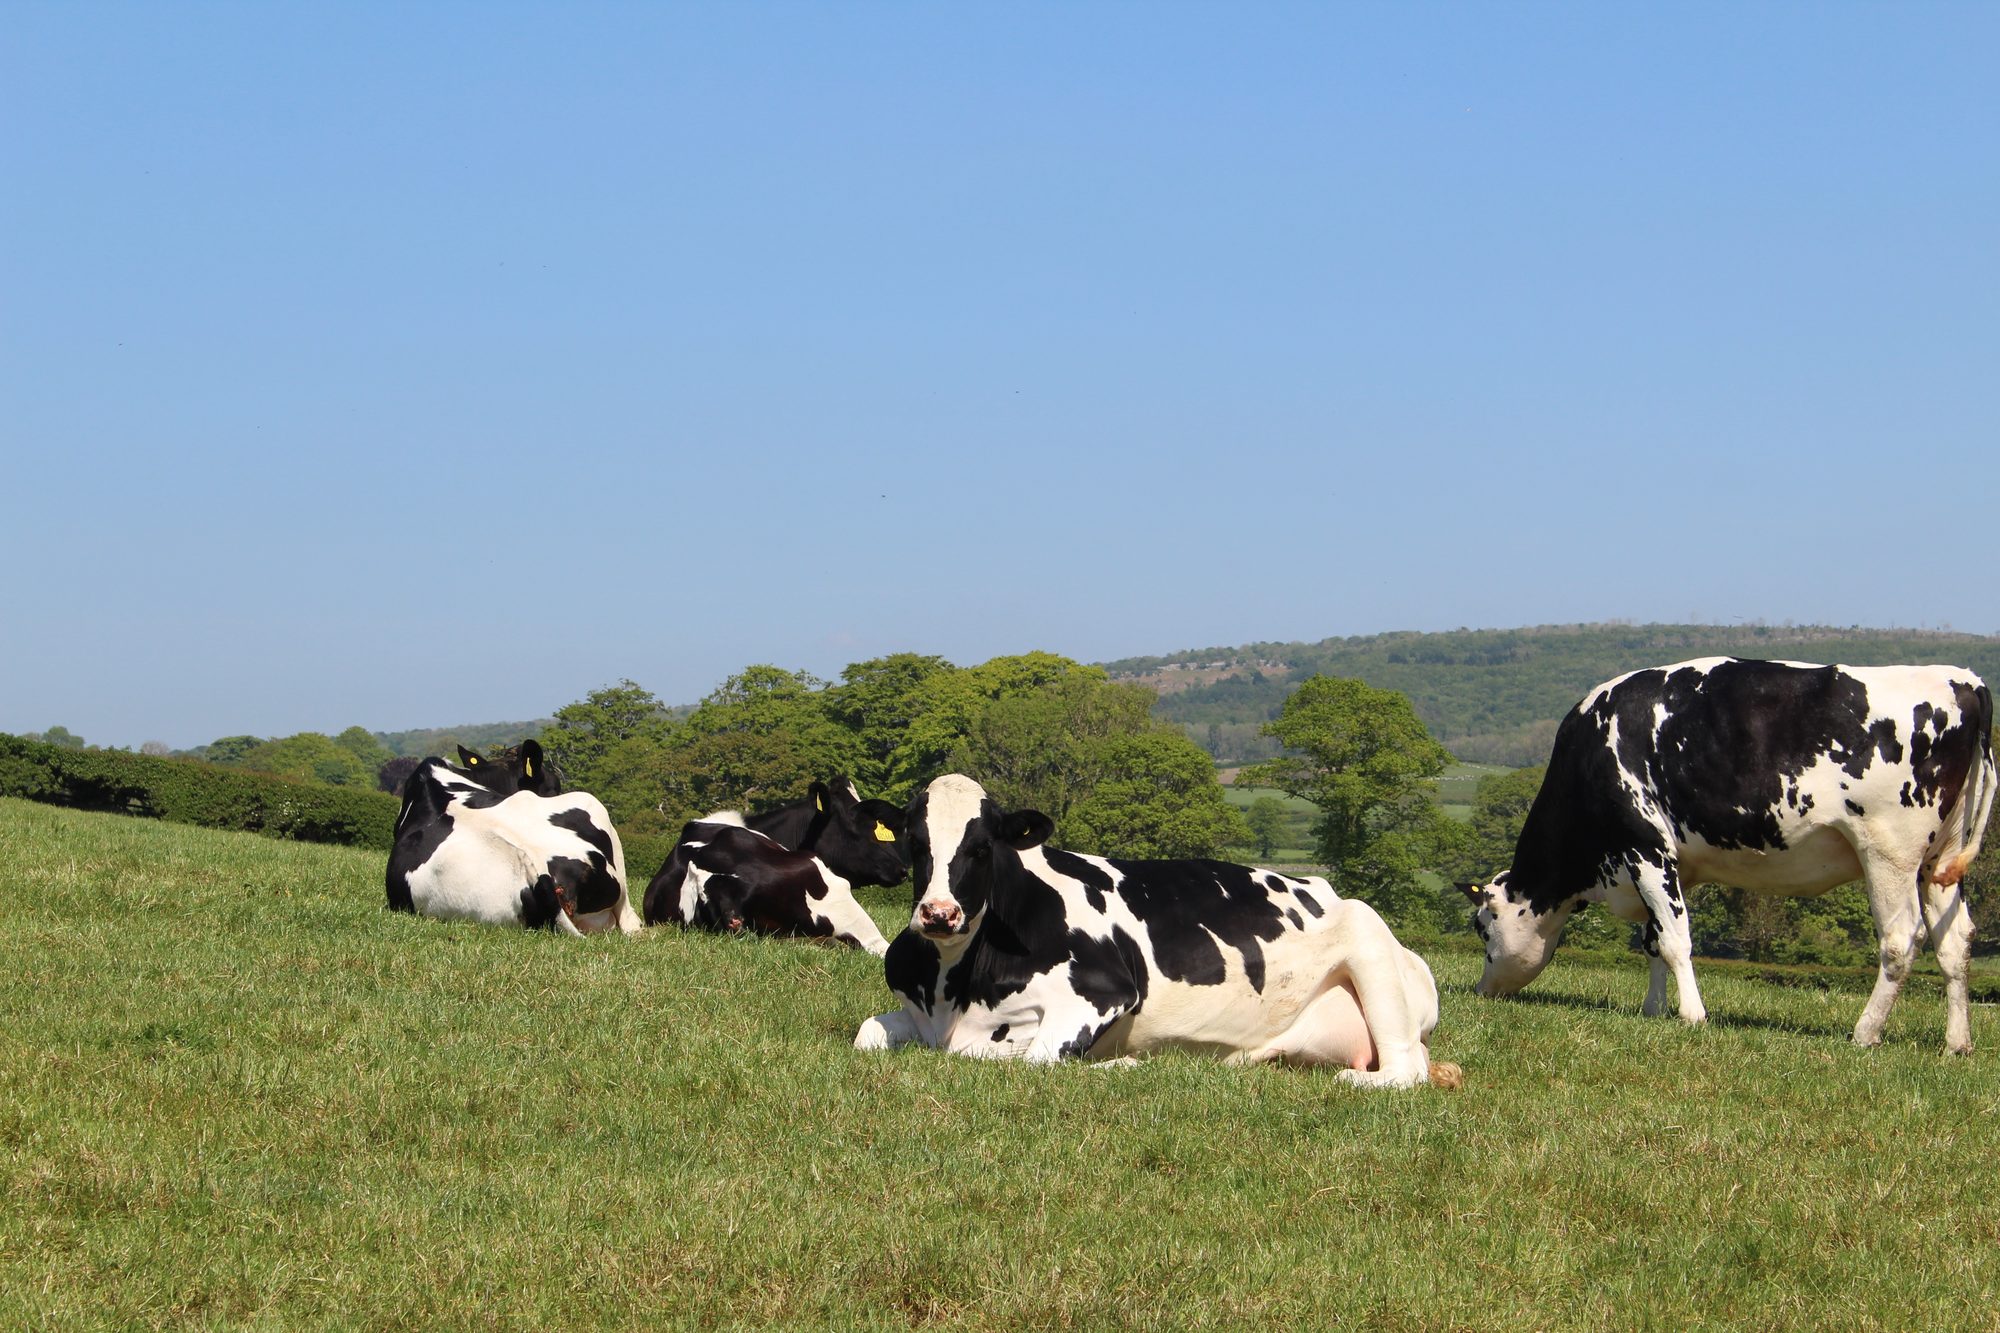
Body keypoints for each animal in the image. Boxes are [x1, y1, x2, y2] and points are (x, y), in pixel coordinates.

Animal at [854, 774, 1460, 1089]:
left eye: (982, 848)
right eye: (915, 843)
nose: (938, 914)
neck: (953, 989)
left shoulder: (1104, 992)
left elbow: (1024, 1055)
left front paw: (1119, 1062)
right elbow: (867, 1033)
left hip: (1367, 938)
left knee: (1404, 1069)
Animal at [1460, 659, 1995, 1053]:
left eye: (1483, 929)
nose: (1482, 991)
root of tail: (1963, 679)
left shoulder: (1646, 847)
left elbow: (1675, 940)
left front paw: (1692, 1016)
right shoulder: (1664, 864)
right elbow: (1653, 940)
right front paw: (1653, 1009)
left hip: (1889, 851)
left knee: (1901, 940)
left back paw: (1864, 1033)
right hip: (1938, 862)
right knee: (1955, 942)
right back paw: (1957, 1043)